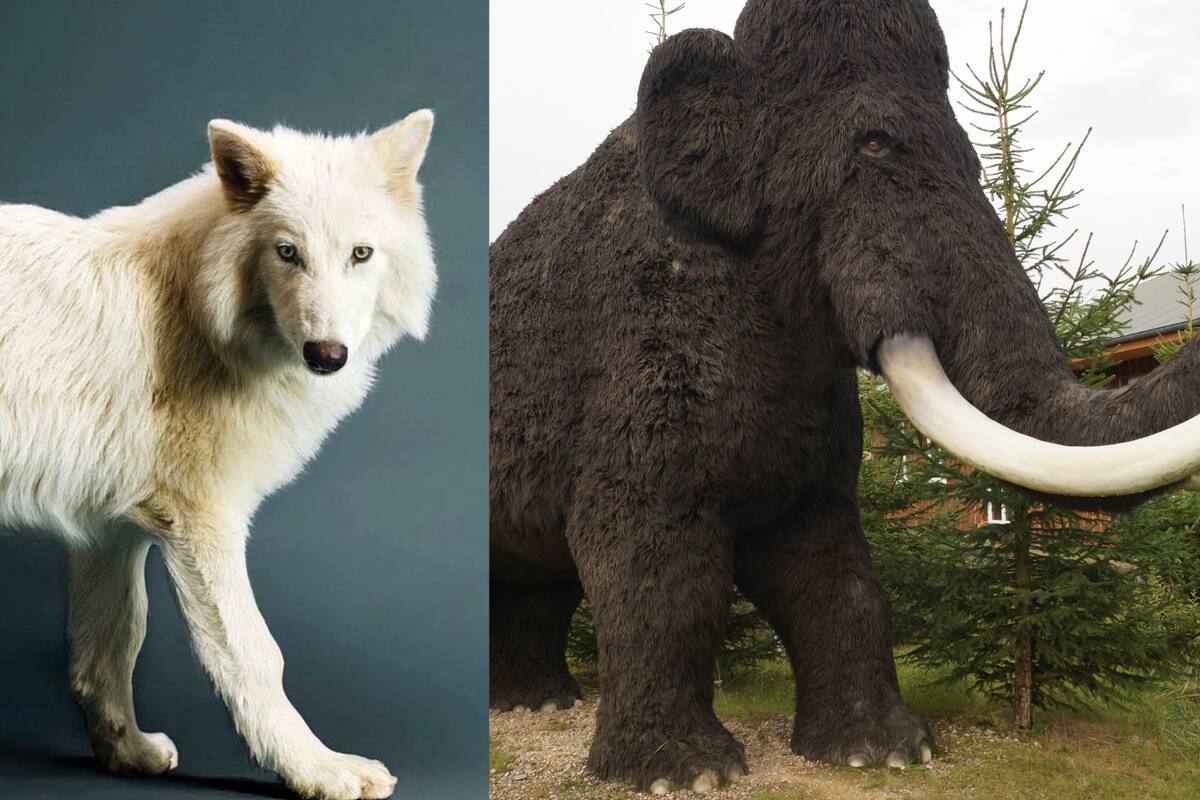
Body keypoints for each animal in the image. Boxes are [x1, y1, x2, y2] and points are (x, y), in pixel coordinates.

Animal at [0, 111, 436, 800]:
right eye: (288, 252)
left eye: (360, 254)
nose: (327, 355)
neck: (196, 316)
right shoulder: (203, 520)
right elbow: (258, 656)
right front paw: (316, 769)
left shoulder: (110, 530)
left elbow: (113, 645)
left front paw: (126, 754)